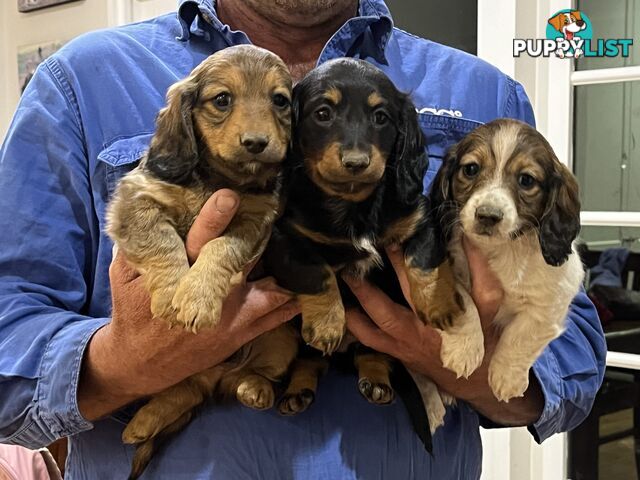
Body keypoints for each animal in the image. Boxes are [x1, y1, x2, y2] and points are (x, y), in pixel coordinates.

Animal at [107, 44, 300, 476]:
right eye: (222, 99)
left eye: (280, 100)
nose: (257, 142)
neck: (219, 180)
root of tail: (218, 375)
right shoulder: (137, 202)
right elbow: (163, 244)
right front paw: (170, 295)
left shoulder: (254, 220)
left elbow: (219, 248)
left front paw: (197, 297)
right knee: (182, 390)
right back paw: (143, 422)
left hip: (280, 341)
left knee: (235, 381)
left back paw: (254, 389)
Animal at [422, 118, 584, 430]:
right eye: (471, 169)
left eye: (527, 180)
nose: (487, 215)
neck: (500, 250)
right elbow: (465, 305)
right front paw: (465, 350)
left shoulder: (552, 300)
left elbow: (523, 335)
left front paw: (506, 376)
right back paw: (431, 404)